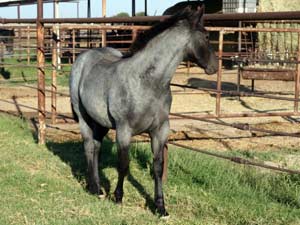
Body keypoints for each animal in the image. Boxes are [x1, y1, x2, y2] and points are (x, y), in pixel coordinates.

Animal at [70, 5, 218, 216]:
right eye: (206, 36)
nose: (214, 66)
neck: (146, 82)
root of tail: (84, 56)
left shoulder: (159, 130)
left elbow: (157, 167)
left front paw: (160, 207)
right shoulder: (124, 130)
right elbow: (123, 165)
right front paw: (118, 197)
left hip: (100, 121)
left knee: (96, 147)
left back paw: (97, 187)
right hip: (83, 117)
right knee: (89, 146)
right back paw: (95, 189)